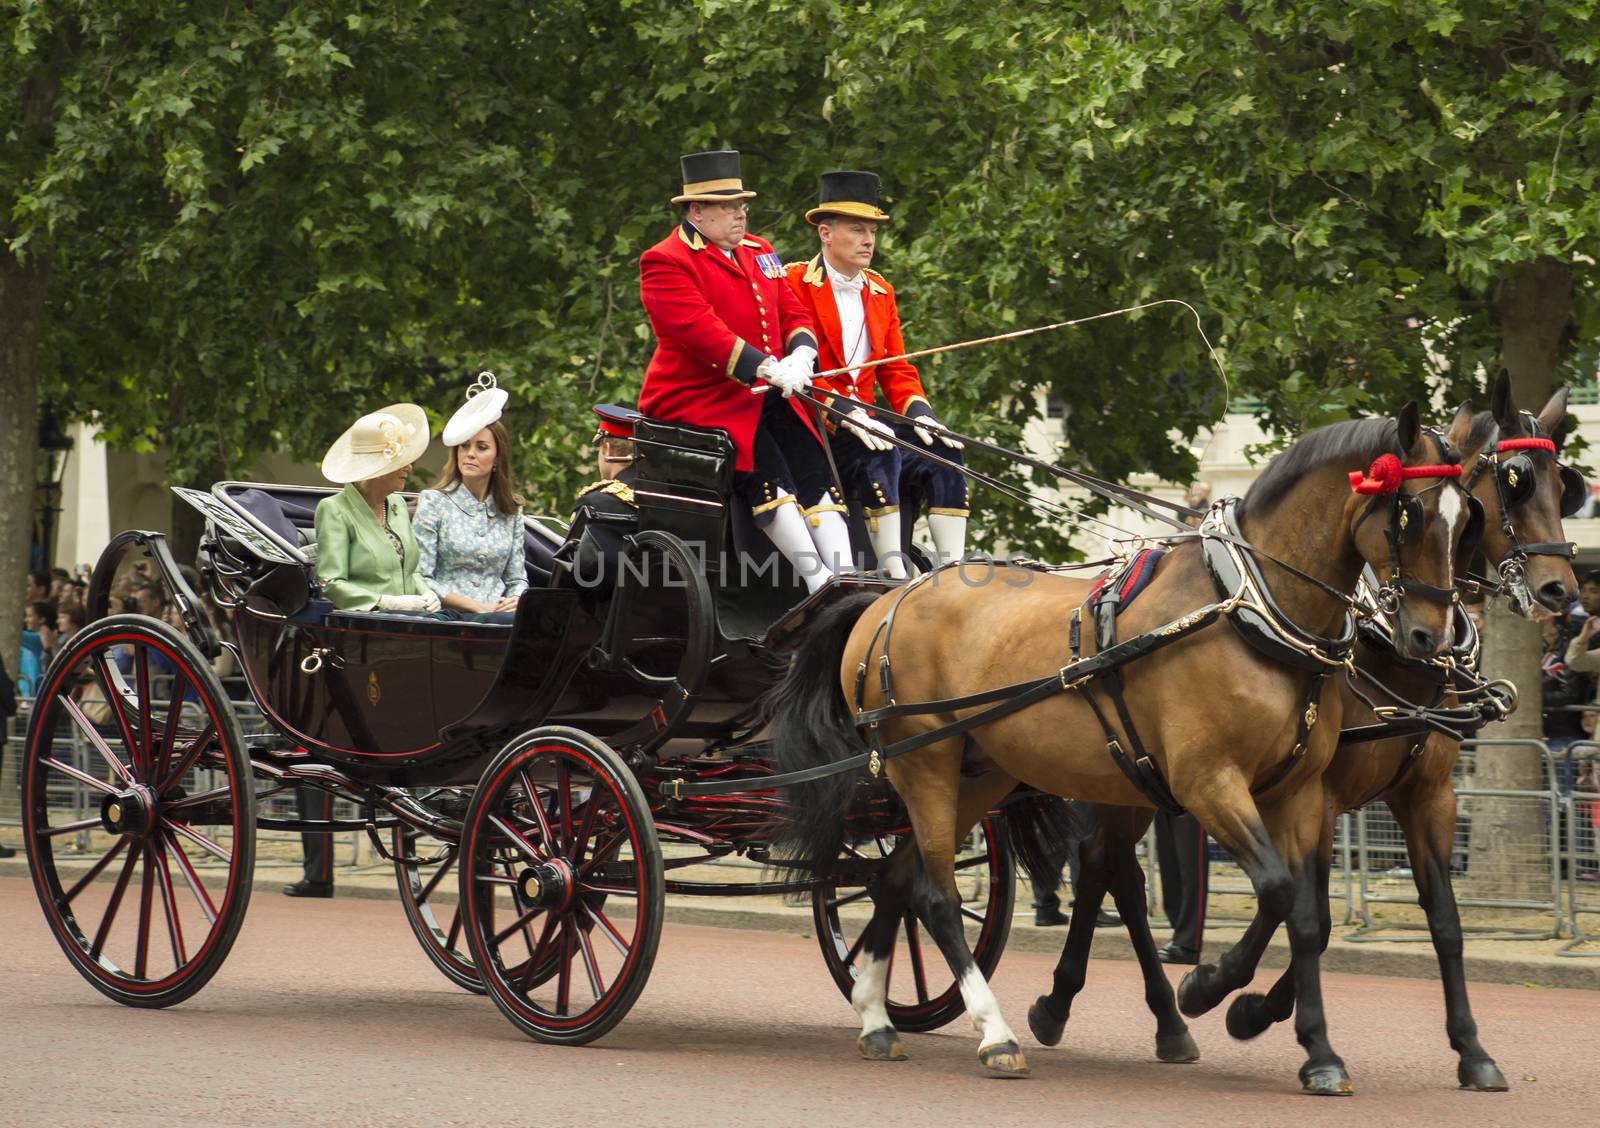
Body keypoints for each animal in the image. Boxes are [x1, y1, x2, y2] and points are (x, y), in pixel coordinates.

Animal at [768, 404, 1465, 1088]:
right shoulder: (1208, 783)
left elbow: (1307, 915)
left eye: (1466, 519)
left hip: (975, 774)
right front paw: (1207, 989)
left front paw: (1316, 1050)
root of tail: (886, 597)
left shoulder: (1300, 793)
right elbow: (1276, 891)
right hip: (925, 765)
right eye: (1412, 514)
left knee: (895, 878)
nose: (1431, 638)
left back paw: (876, 1017)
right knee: (936, 897)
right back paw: (996, 1034)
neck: (1250, 611)